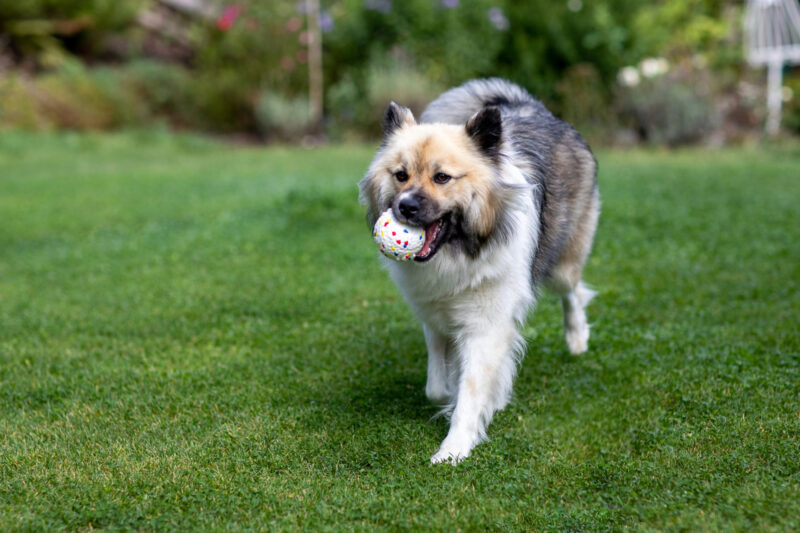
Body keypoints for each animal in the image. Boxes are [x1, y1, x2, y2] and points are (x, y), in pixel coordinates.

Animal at [358, 77, 600, 464]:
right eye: (401, 175)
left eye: (442, 177)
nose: (405, 207)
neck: (459, 252)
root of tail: (532, 107)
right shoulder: (435, 315)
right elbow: (438, 384)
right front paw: (465, 397)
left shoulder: (486, 324)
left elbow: (470, 389)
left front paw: (454, 447)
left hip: (563, 261)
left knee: (573, 294)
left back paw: (577, 339)